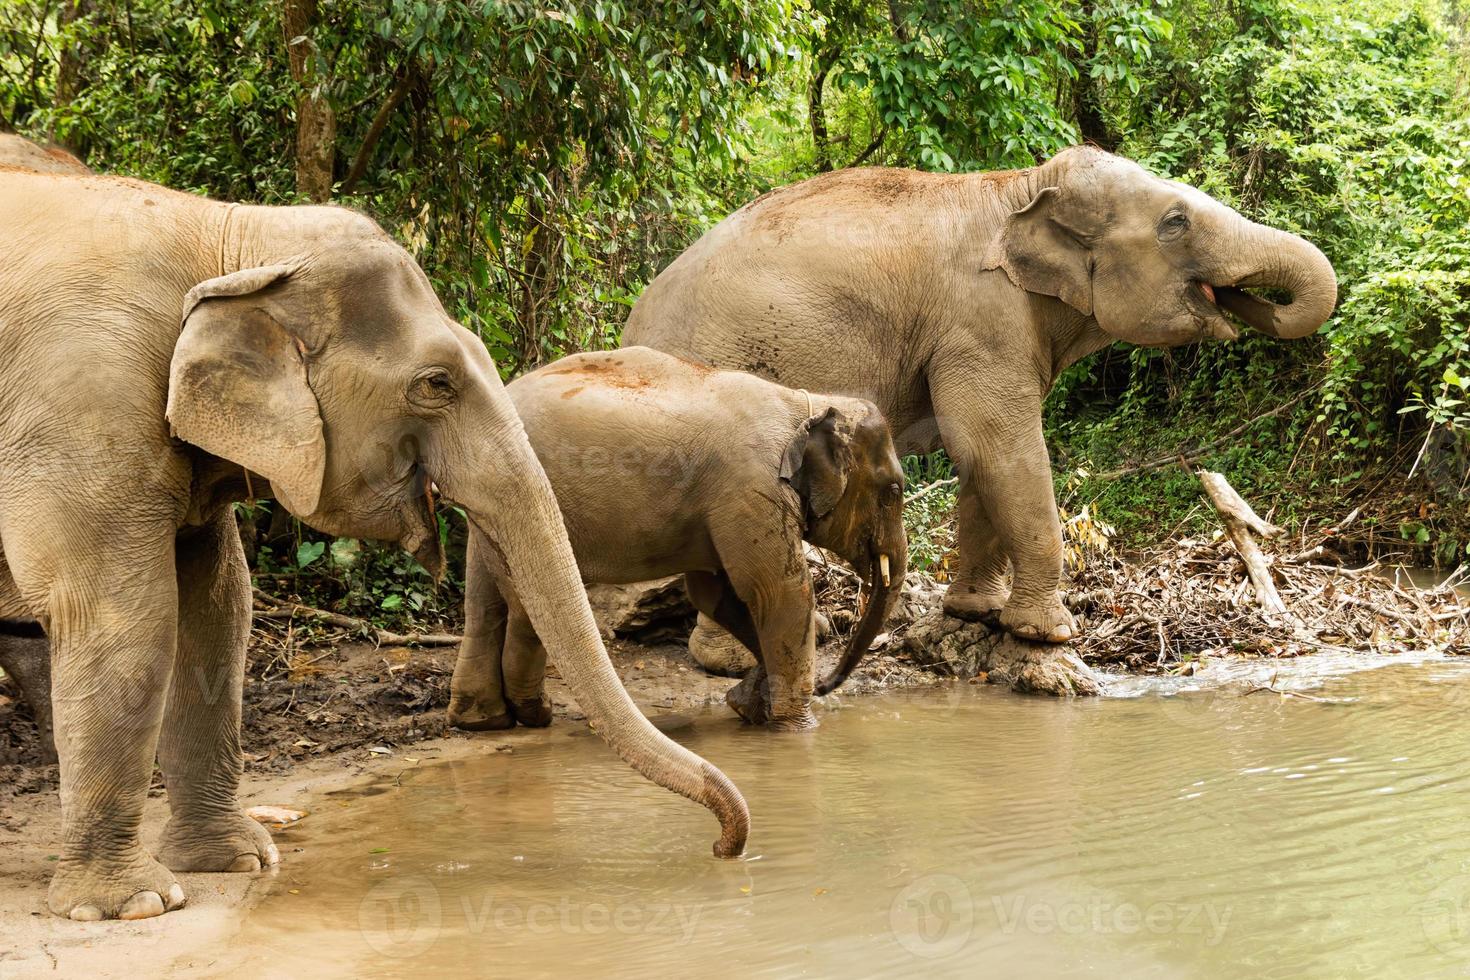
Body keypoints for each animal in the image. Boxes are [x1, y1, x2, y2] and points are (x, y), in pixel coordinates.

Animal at [0, 153, 746, 922]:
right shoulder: (85, 399)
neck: (230, 235)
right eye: (437, 383)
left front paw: (237, 861)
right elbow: (127, 614)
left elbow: (217, 609)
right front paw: (136, 904)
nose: (727, 846)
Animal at [446, 348, 905, 731]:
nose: (827, 685)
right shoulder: (750, 489)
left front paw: (746, 706)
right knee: (528, 603)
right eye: (894, 491)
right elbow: (779, 592)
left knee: (485, 597)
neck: (803, 404)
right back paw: (532, 714)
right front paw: (797, 728)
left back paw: (484, 720)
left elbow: (716, 594)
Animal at [626, 145, 1340, 646]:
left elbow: (978, 458)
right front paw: (1051, 635)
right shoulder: (981, 318)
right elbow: (1001, 447)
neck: (1018, 186)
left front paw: (978, 613)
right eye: (1174, 223)